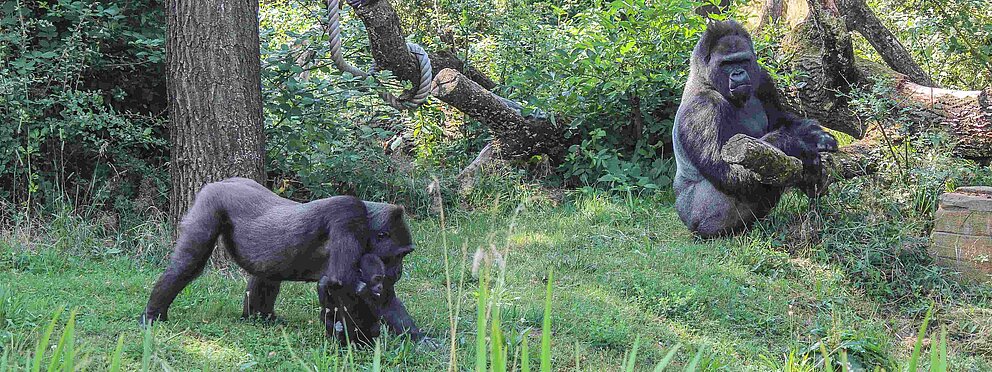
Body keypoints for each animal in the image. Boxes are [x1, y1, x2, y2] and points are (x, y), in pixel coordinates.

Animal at [142, 177, 426, 342]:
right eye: (400, 255)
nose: (398, 272)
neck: (368, 221)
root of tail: (224, 180)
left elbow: (384, 297)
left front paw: (419, 339)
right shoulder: (348, 215)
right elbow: (341, 281)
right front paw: (358, 341)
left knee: (266, 274)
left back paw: (261, 317)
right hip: (211, 201)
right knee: (188, 262)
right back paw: (153, 313)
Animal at [676, 20, 836, 237]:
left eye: (742, 60)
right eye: (726, 64)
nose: (737, 73)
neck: (706, 78)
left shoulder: (762, 77)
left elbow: (780, 120)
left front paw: (816, 135)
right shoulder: (702, 108)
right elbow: (726, 170)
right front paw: (797, 145)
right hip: (693, 218)